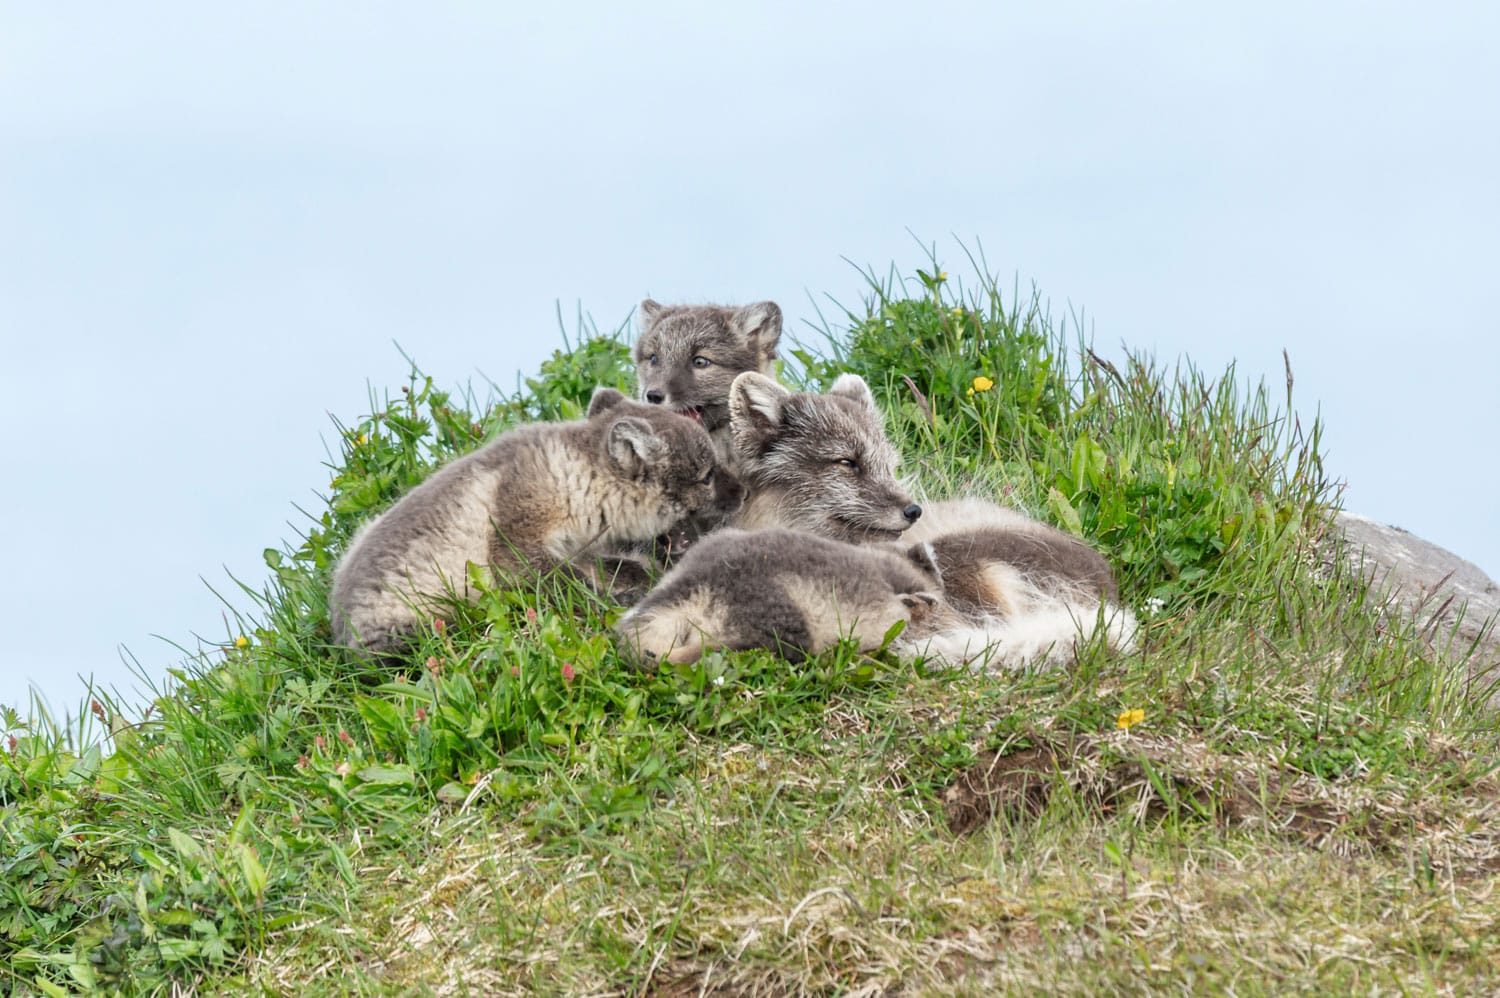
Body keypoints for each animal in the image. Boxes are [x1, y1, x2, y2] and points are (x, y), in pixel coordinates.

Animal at [334, 387, 744, 654]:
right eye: (707, 475)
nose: (742, 491)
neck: (573, 477)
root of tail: (338, 625)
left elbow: (598, 566)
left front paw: (632, 573)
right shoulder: (516, 539)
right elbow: (562, 582)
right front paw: (617, 598)